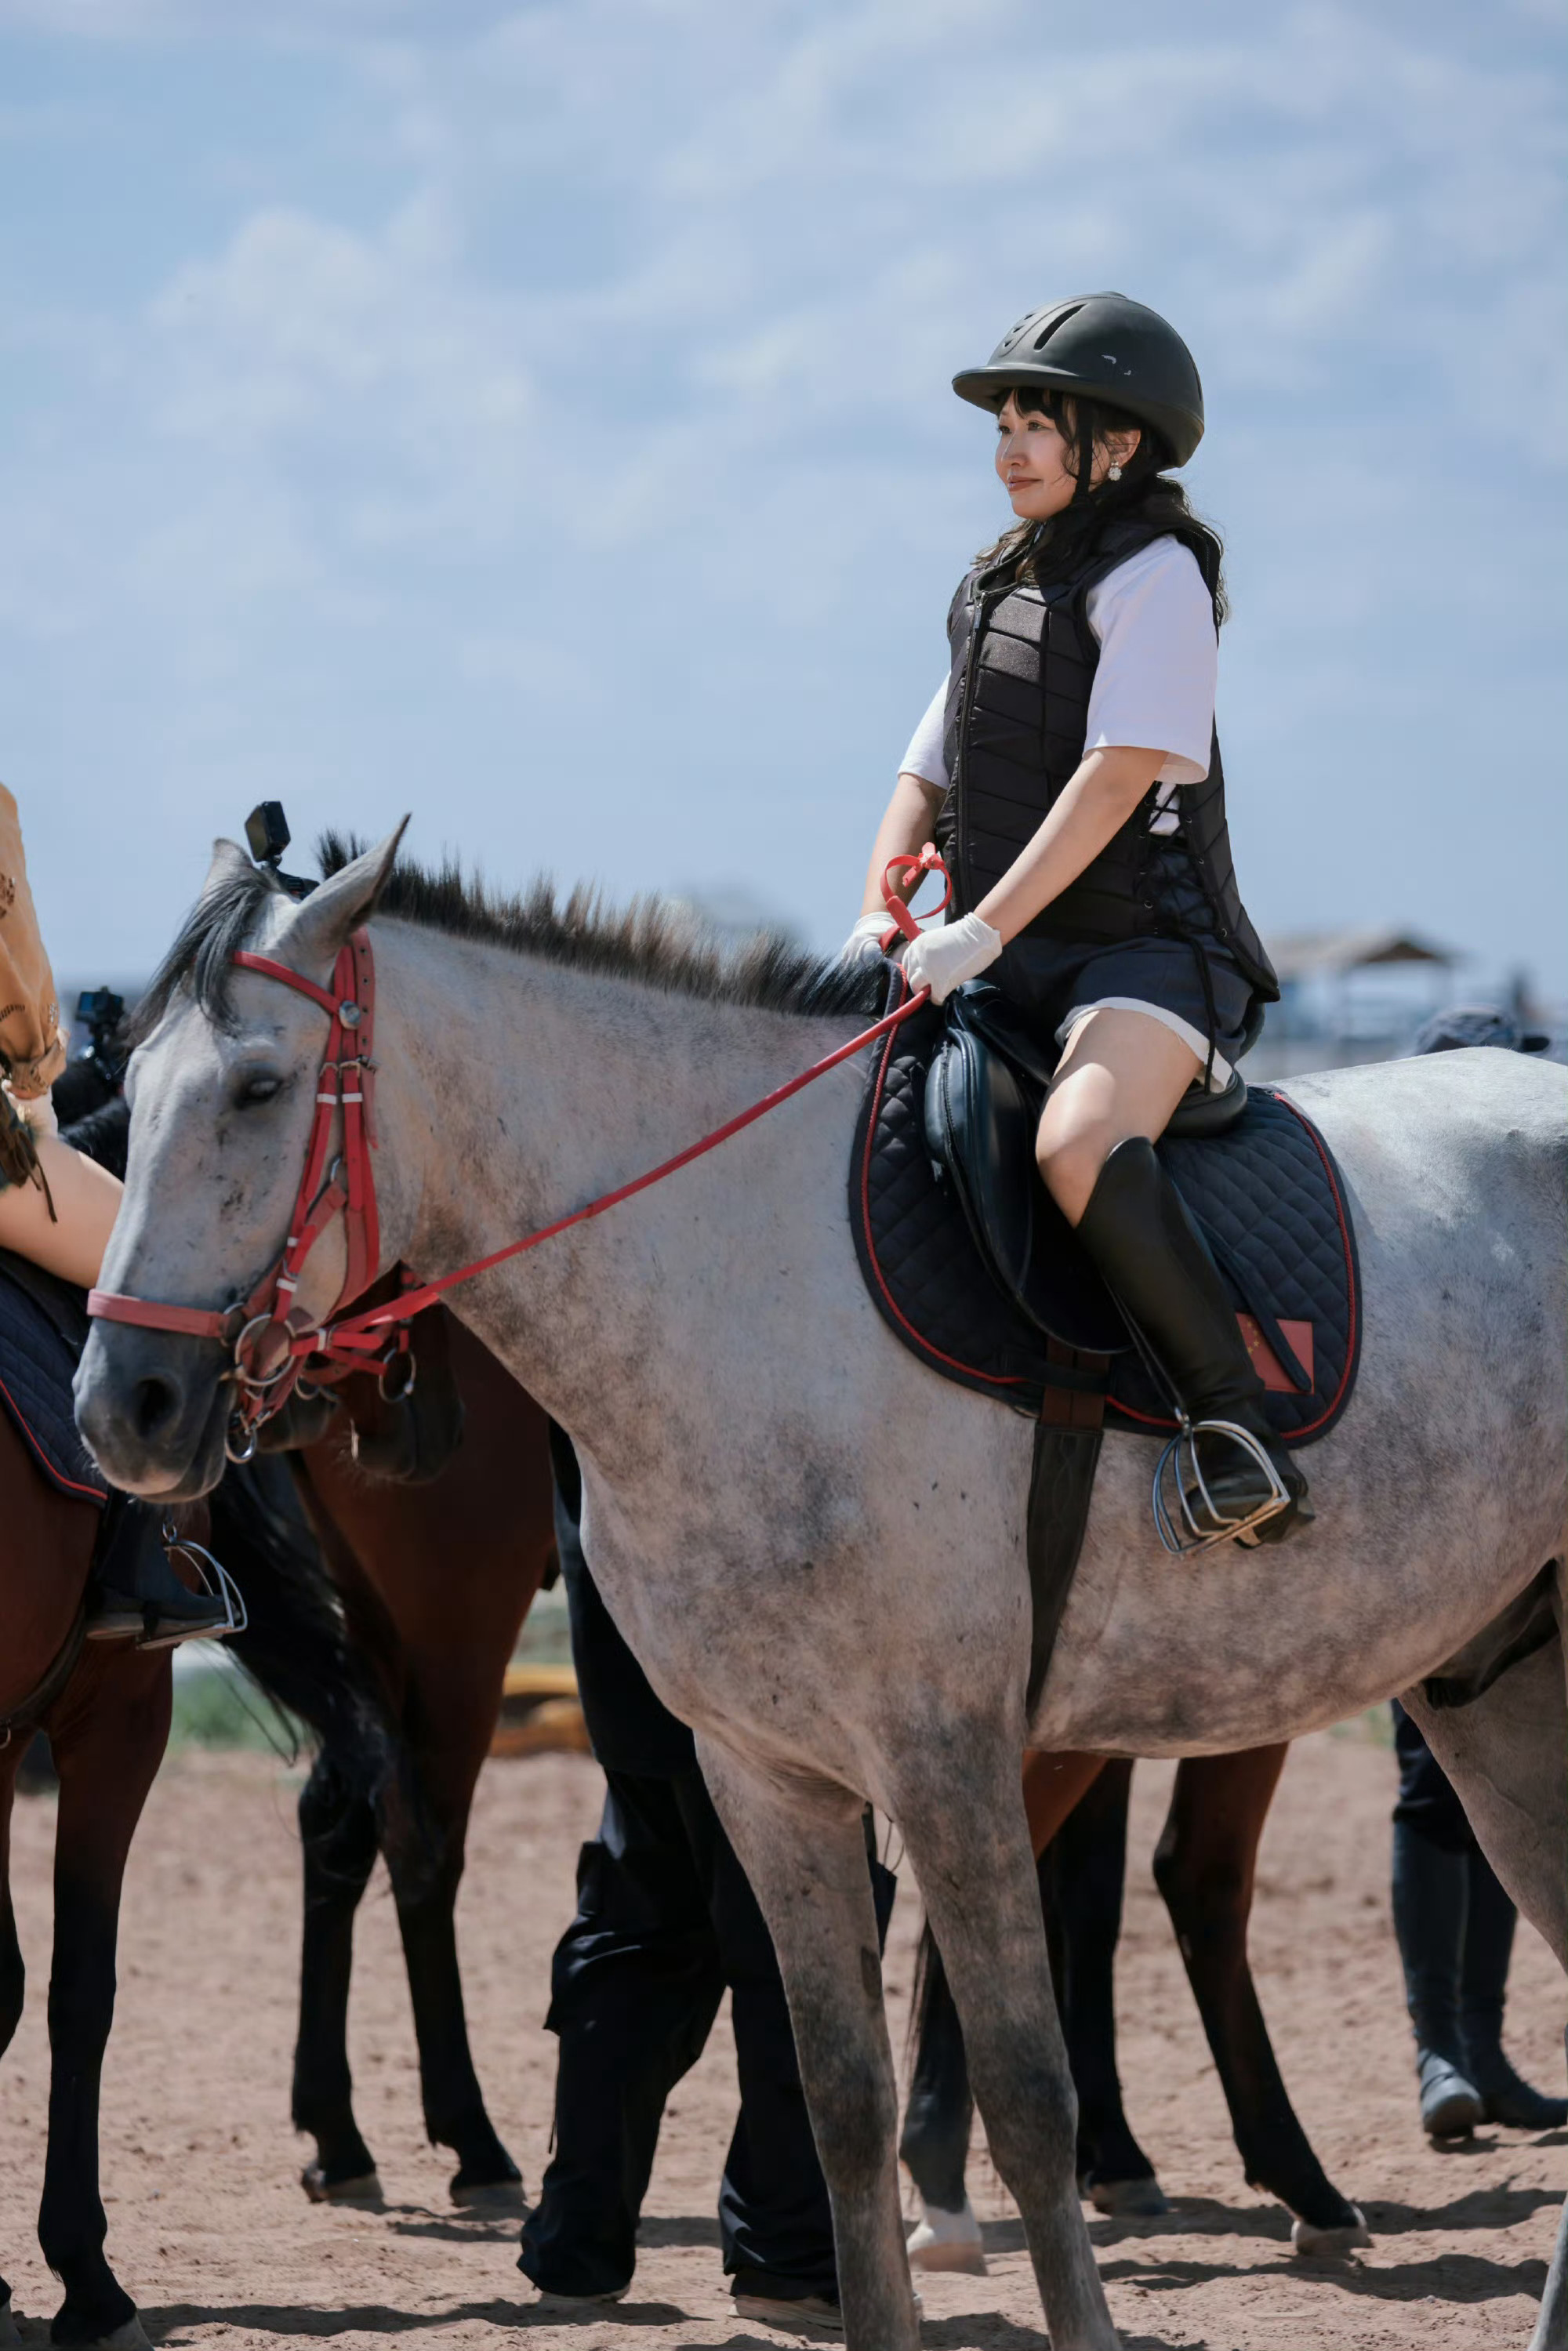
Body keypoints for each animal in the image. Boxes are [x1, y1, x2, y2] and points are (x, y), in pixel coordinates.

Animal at [76, 841, 1568, 2351]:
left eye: (260, 1087)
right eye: (128, 1090)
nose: (123, 1404)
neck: (748, 1278)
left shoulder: (949, 1757)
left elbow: (1027, 2087)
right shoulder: (768, 1774)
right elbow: (840, 2091)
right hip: (1493, 1693)